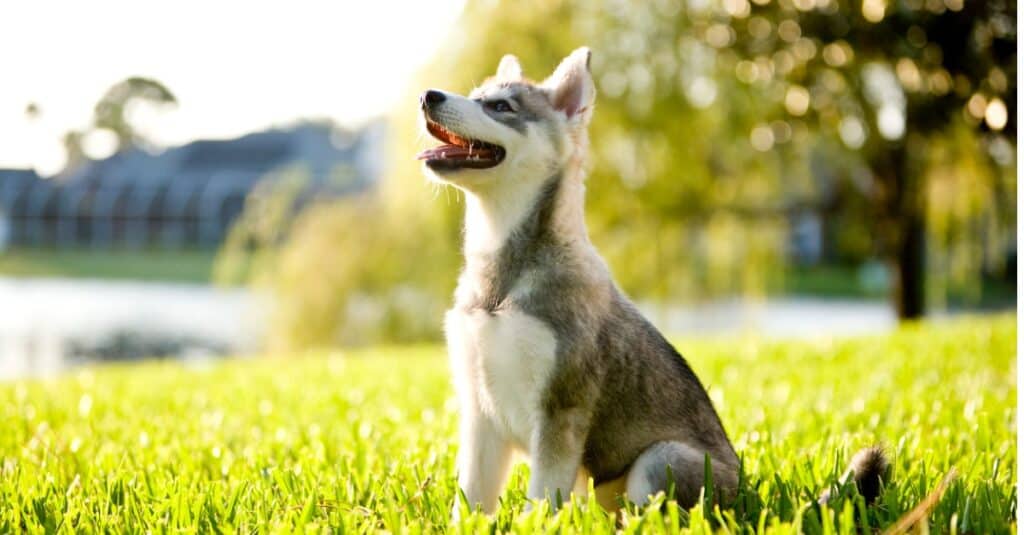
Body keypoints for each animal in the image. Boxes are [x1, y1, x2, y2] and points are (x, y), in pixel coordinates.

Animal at [415, 47, 888, 514]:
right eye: (477, 95)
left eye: (500, 106)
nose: (428, 95)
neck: (502, 279)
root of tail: (751, 499)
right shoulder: (479, 413)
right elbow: (470, 502)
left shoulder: (560, 411)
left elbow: (542, 503)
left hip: (661, 459)